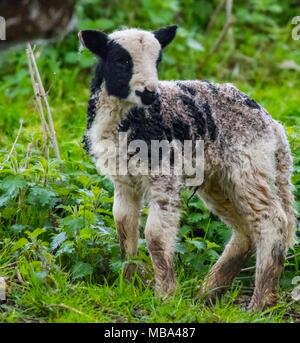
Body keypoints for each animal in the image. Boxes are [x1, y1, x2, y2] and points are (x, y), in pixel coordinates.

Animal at [78, 25, 296, 310]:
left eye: (158, 60)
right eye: (121, 60)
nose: (150, 93)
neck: (130, 120)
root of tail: (274, 125)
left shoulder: (163, 174)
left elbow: (155, 235)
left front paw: (165, 295)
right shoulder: (123, 179)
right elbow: (124, 228)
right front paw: (128, 285)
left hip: (249, 167)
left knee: (272, 222)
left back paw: (259, 302)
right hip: (218, 178)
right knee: (246, 231)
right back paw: (210, 291)